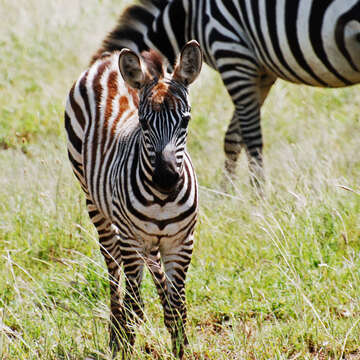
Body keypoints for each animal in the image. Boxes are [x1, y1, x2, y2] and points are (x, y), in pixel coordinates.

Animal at [64, 40, 202, 358]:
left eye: (186, 120)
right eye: (143, 122)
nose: (166, 180)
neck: (162, 201)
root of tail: (111, 59)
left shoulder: (181, 242)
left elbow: (179, 306)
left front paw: (179, 344)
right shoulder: (131, 238)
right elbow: (134, 297)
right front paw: (127, 342)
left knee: (151, 268)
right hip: (94, 202)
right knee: (113, 265)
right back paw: (116, 333)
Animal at [93, 0, 360, 184]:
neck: (187, 15)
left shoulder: (233, 54)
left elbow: (251, 139)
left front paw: (258, 199)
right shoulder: (262, 72)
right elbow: (233, 138)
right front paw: (227, 194)